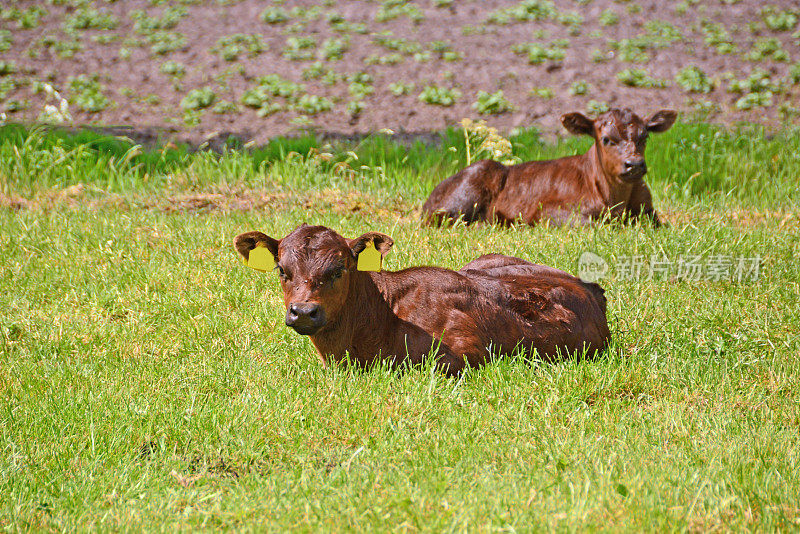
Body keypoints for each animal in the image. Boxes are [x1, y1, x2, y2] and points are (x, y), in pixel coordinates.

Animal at [422, 108, 680, 227]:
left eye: (645, 136)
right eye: (606, 138)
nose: (634, 164)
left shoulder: (649, 210)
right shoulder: (545, 210)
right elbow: (589, 223)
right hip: (465, 191)